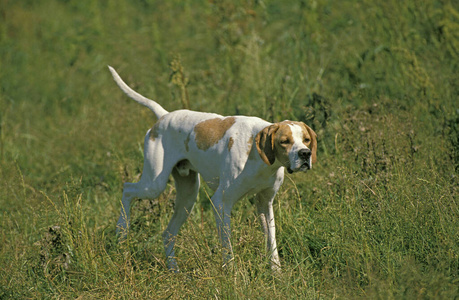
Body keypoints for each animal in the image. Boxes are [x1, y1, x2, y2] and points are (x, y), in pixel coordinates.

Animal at [108, 66, 316, 272]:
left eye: (306, 140)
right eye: (284, 141)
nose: (305, 154)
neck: (259, 157)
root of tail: (164, 116)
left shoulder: (265, 203)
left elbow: (271, 244)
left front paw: (277, 274)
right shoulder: (221, 203)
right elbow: (227, 247)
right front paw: (231, 275)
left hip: (188, 196)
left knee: (167, 234)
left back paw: (174, 270)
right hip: (154, 185)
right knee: (127, 189)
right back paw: (121, 234)